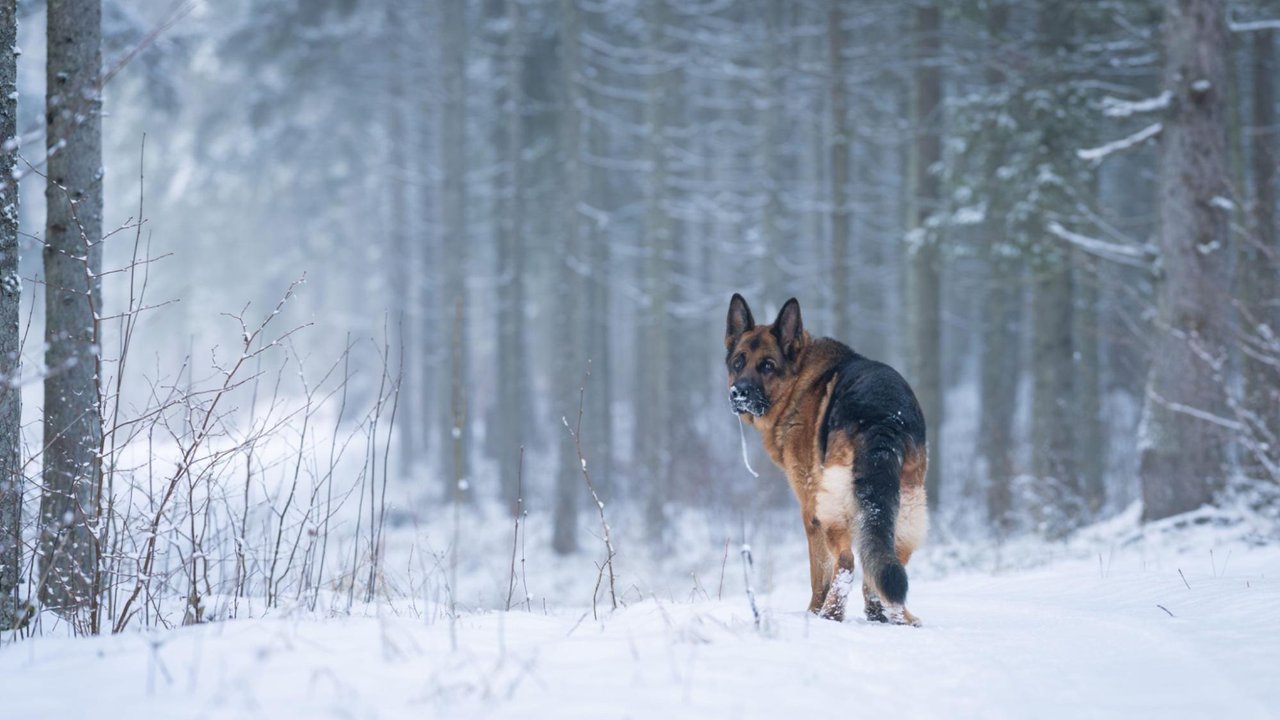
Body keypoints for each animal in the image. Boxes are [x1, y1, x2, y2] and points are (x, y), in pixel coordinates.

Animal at [727, 293, 926, 622]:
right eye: (738, 362)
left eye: (767, 365)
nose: (738, 393)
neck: (798, 380)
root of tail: (884, 415)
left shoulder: (810, 510)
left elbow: (818, 572)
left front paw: (812, 611)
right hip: (908, 507)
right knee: (883, 564)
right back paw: (890, 615)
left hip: (833, 507)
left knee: (846, 562)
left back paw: (831, 614)